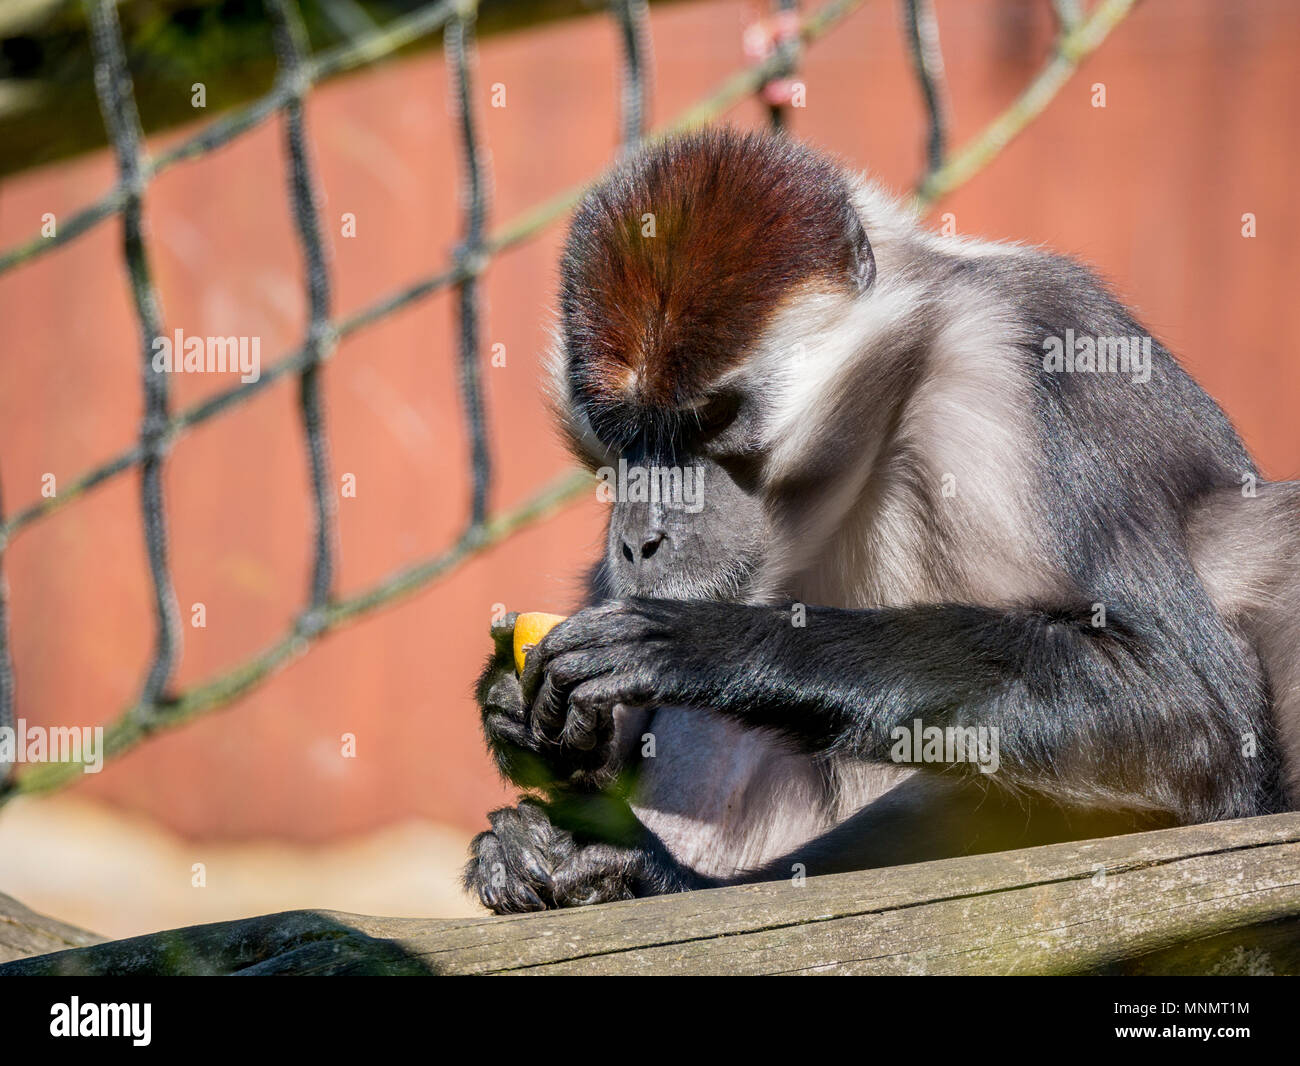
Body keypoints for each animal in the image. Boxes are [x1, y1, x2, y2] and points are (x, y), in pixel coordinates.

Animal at [465, 122, 1300, 909]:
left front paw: (711, 649)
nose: (642, 539)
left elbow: (1197, 716)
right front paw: (521, 717)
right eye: (626, 437)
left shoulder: (1046, 340)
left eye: (709, 420)